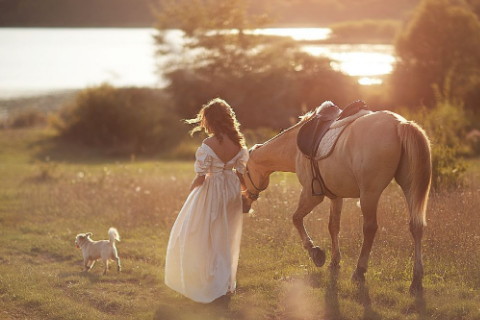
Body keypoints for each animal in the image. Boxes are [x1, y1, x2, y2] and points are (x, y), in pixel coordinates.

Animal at [242, 103, 434, 296]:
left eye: (243, 172)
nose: (244, 204)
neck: (294, 148)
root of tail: (400, 124)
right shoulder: (336, 197)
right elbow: (333, 226)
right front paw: (334, 261)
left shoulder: (311, 195)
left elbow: (296, 219)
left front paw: (315, 253)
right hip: (409, 187)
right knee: (416, 226)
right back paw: (416, 280)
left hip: (369, 193)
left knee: (370, 228)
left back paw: (359, 271)